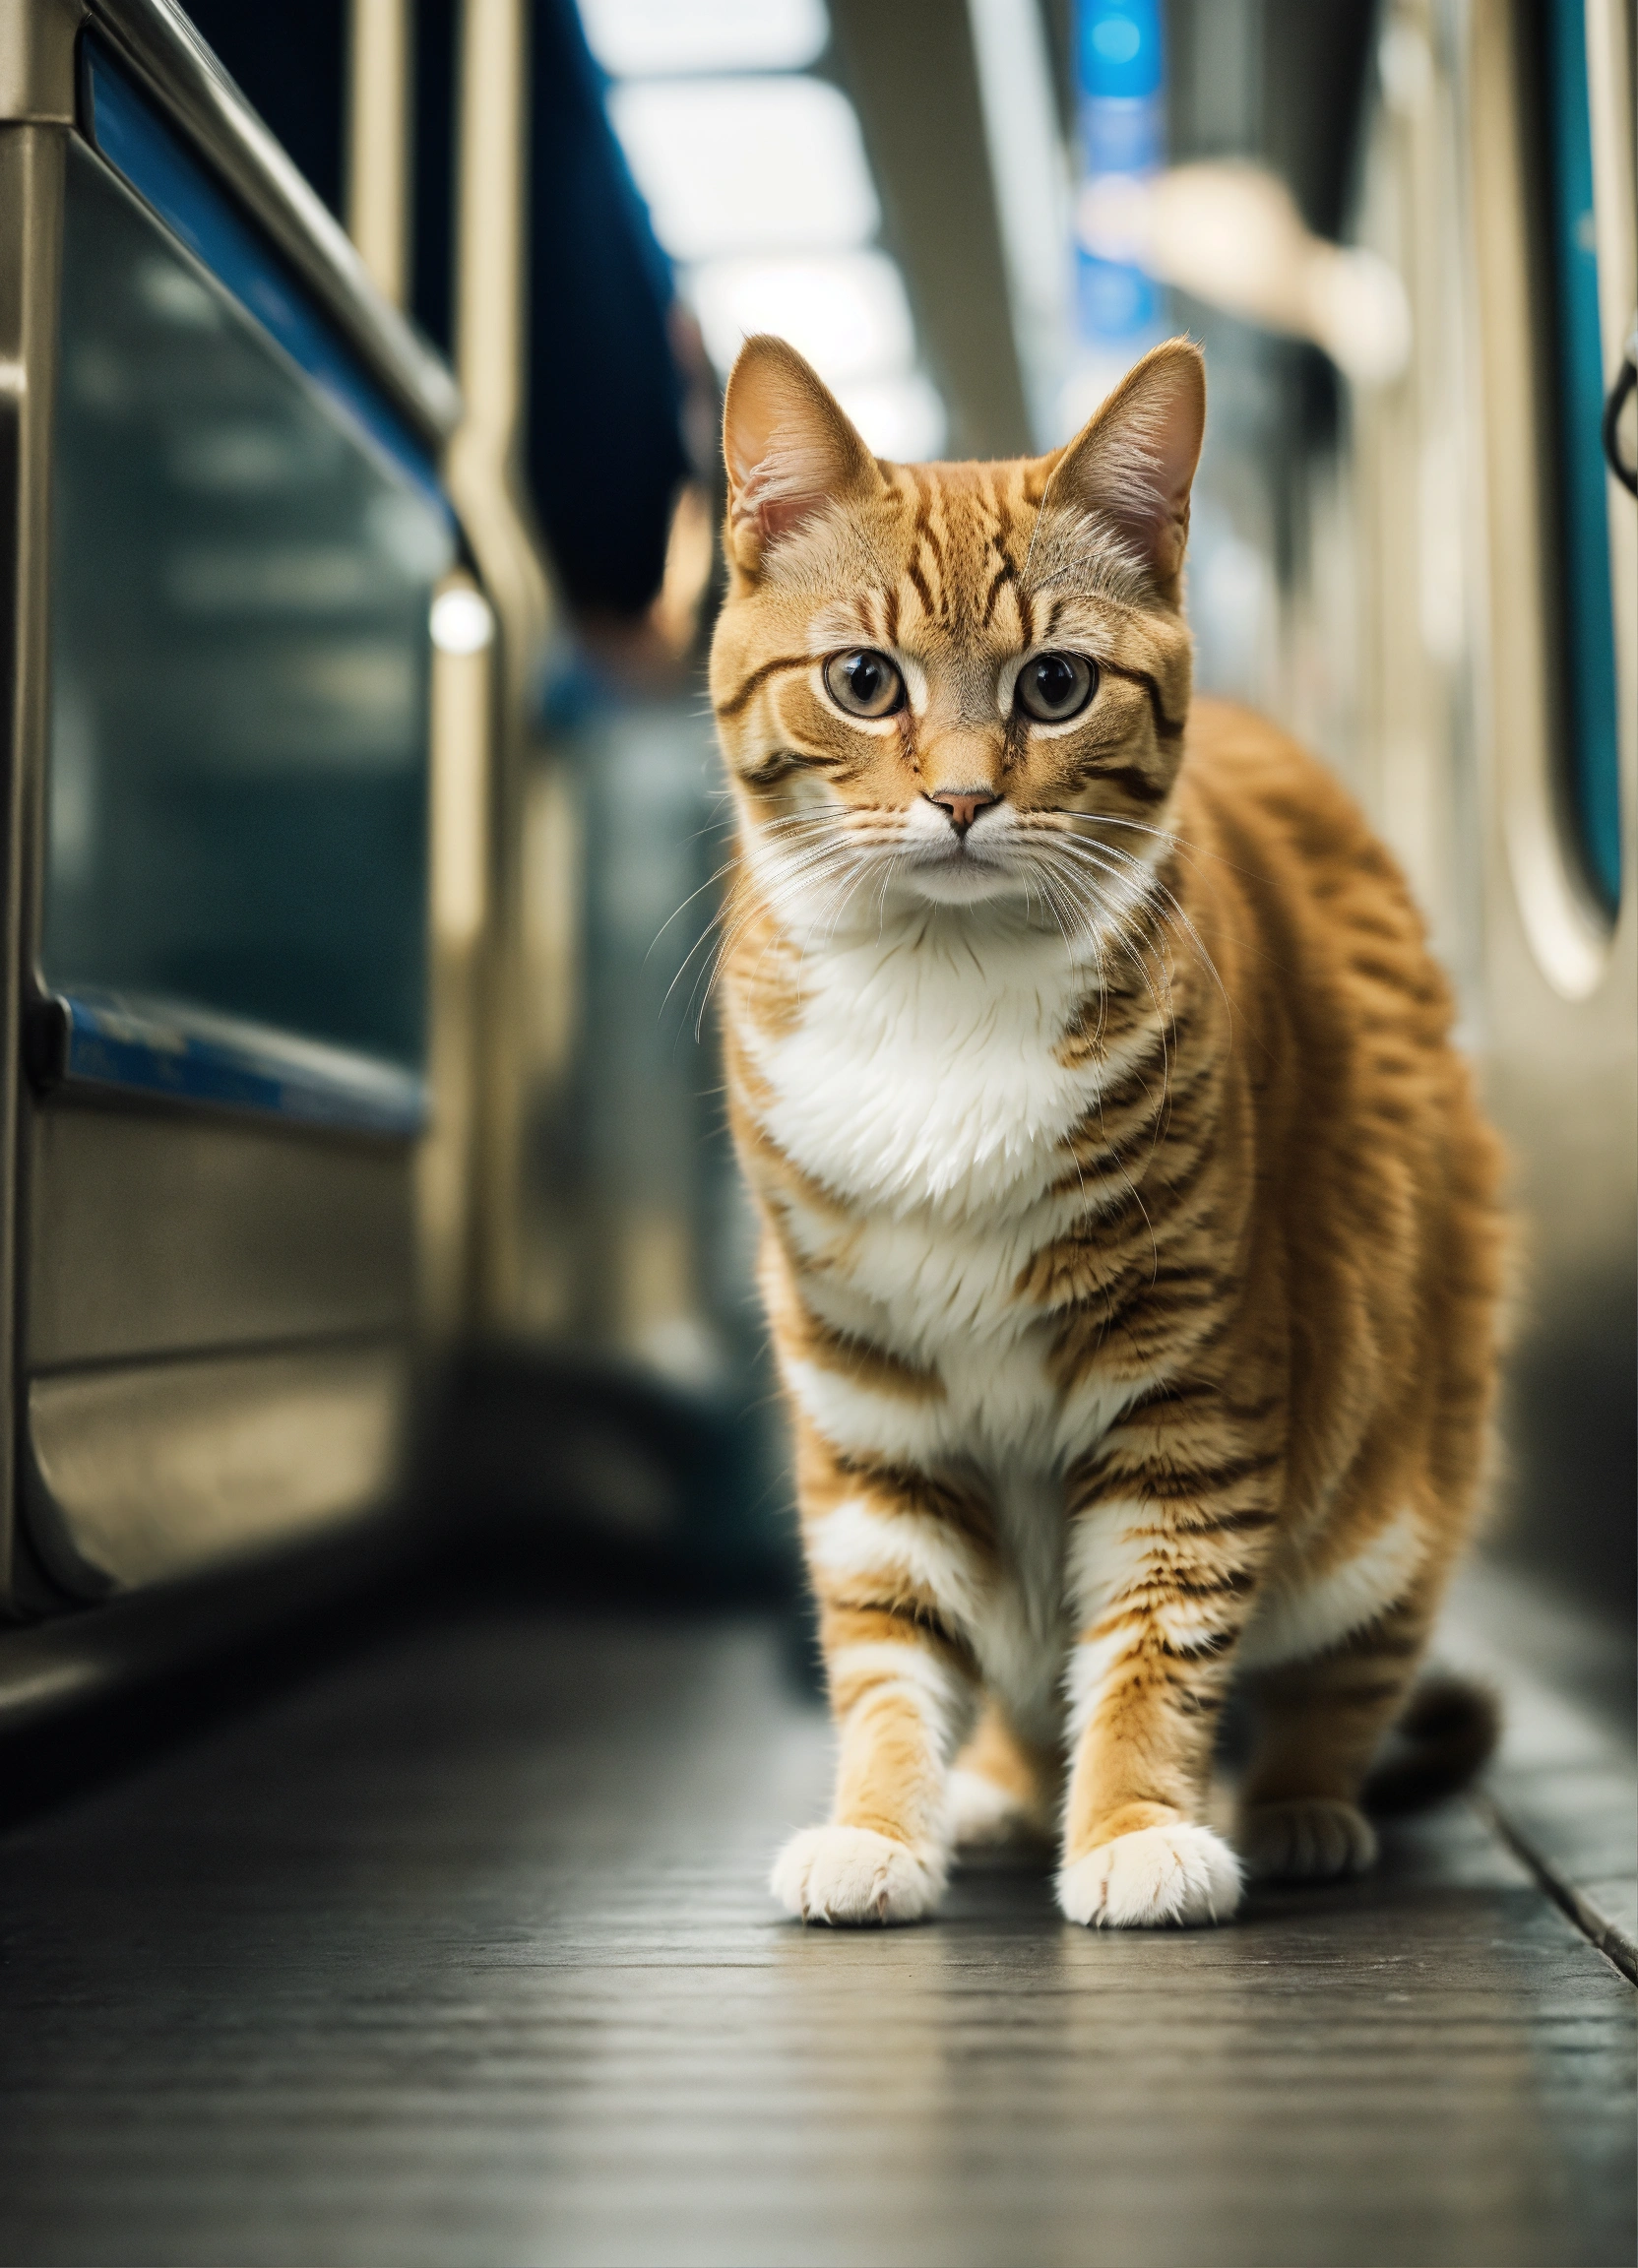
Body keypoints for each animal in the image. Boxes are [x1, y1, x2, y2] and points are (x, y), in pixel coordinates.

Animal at [708, 331, 1497, 1932]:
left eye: (1056, 685)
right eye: (864, 682)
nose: (960, 796)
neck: (941, 993)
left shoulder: (1190, 1385)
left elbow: (1154, 1629)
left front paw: (1137, 1822)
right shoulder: (870, 1397)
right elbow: (885, 1644)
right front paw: (880, 1824)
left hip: (1395, 1494)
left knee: (1337, 1682)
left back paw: (1295, 1805)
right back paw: (1001, 1789)